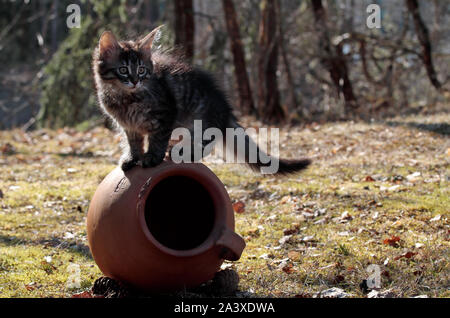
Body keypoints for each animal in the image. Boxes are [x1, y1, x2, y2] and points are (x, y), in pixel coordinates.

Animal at [91, 27, 310, 175]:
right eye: (123, 70)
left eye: (142, 70)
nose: (135, 81)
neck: (126, 99)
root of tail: (224, 108)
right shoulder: (128, 126)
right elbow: (133, 143)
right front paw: (132, 158)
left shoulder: (165, 114)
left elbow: (157, 140)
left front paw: (152, 158)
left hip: (199, 123)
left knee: (206, 145)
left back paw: (182, 152)